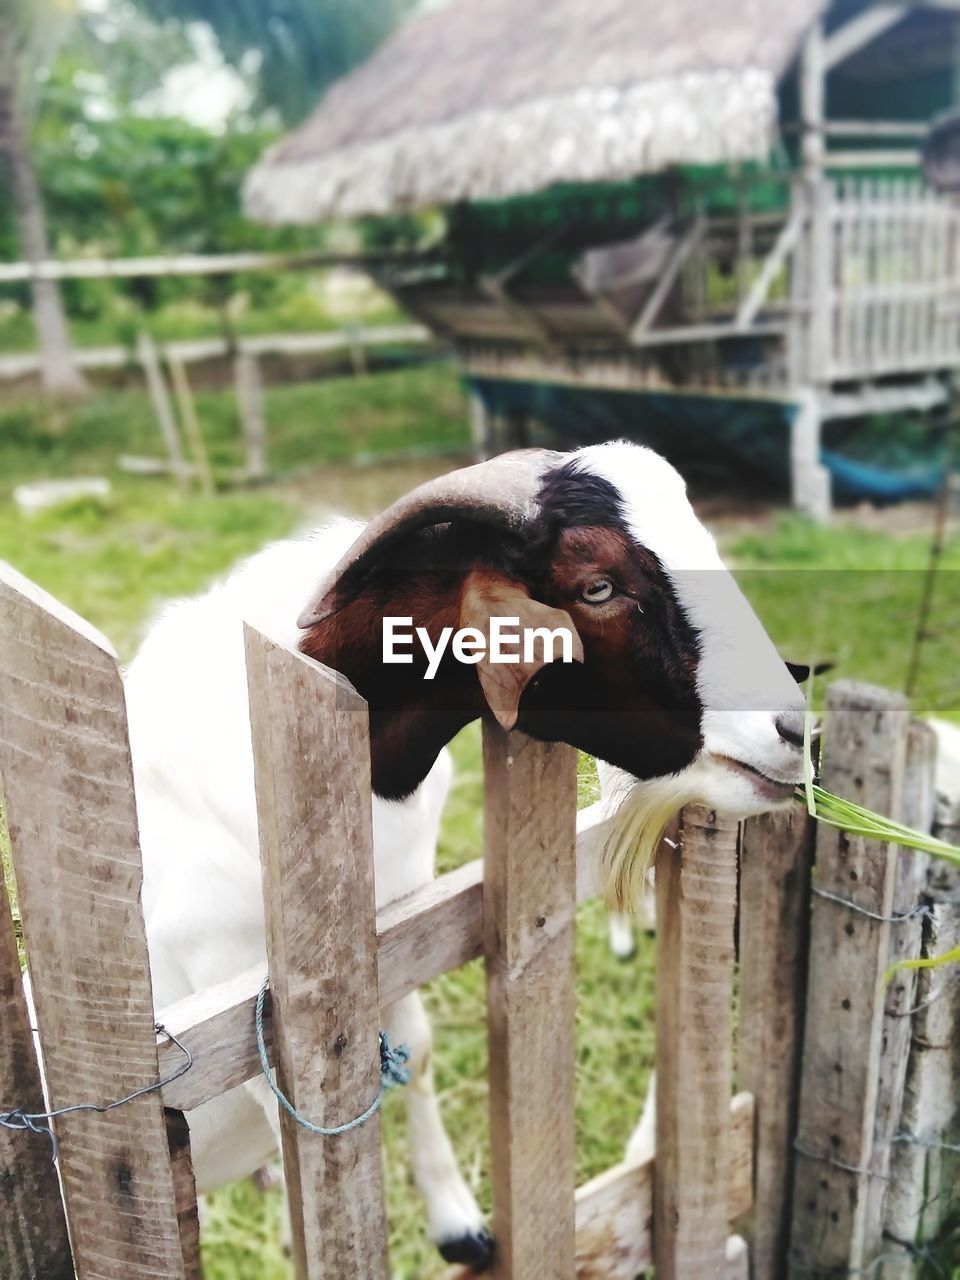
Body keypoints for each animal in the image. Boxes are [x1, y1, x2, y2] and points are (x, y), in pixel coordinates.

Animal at [124, 442, 808, 1269]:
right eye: (598, 585)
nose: (793, 730)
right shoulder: (235, 994)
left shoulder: (391, 938)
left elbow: (413, 1052)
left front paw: (459, 1225)